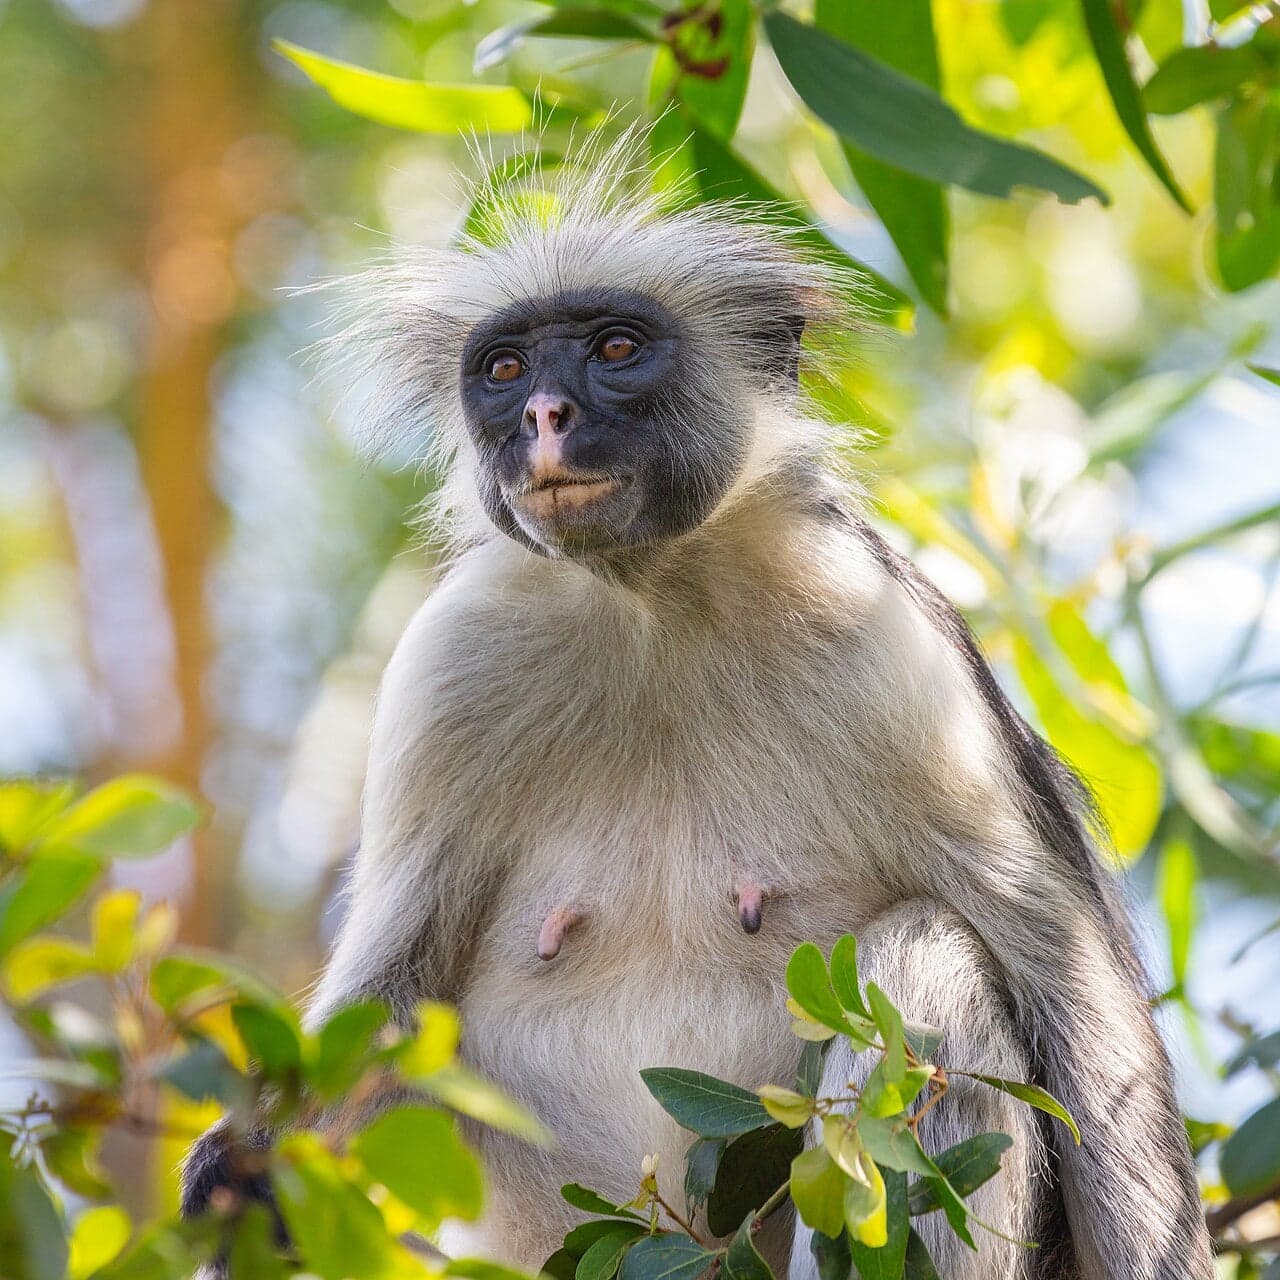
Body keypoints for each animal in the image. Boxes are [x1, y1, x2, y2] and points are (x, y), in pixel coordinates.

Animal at [182, 137, 1212, 1280]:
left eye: (616, 348)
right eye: (504, 371)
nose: (544, 417)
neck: (651, 604)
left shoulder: (878, 631)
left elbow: (1074, 991)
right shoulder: (454, 660)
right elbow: (389, 996)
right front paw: (238, 1165)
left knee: (930, 952)